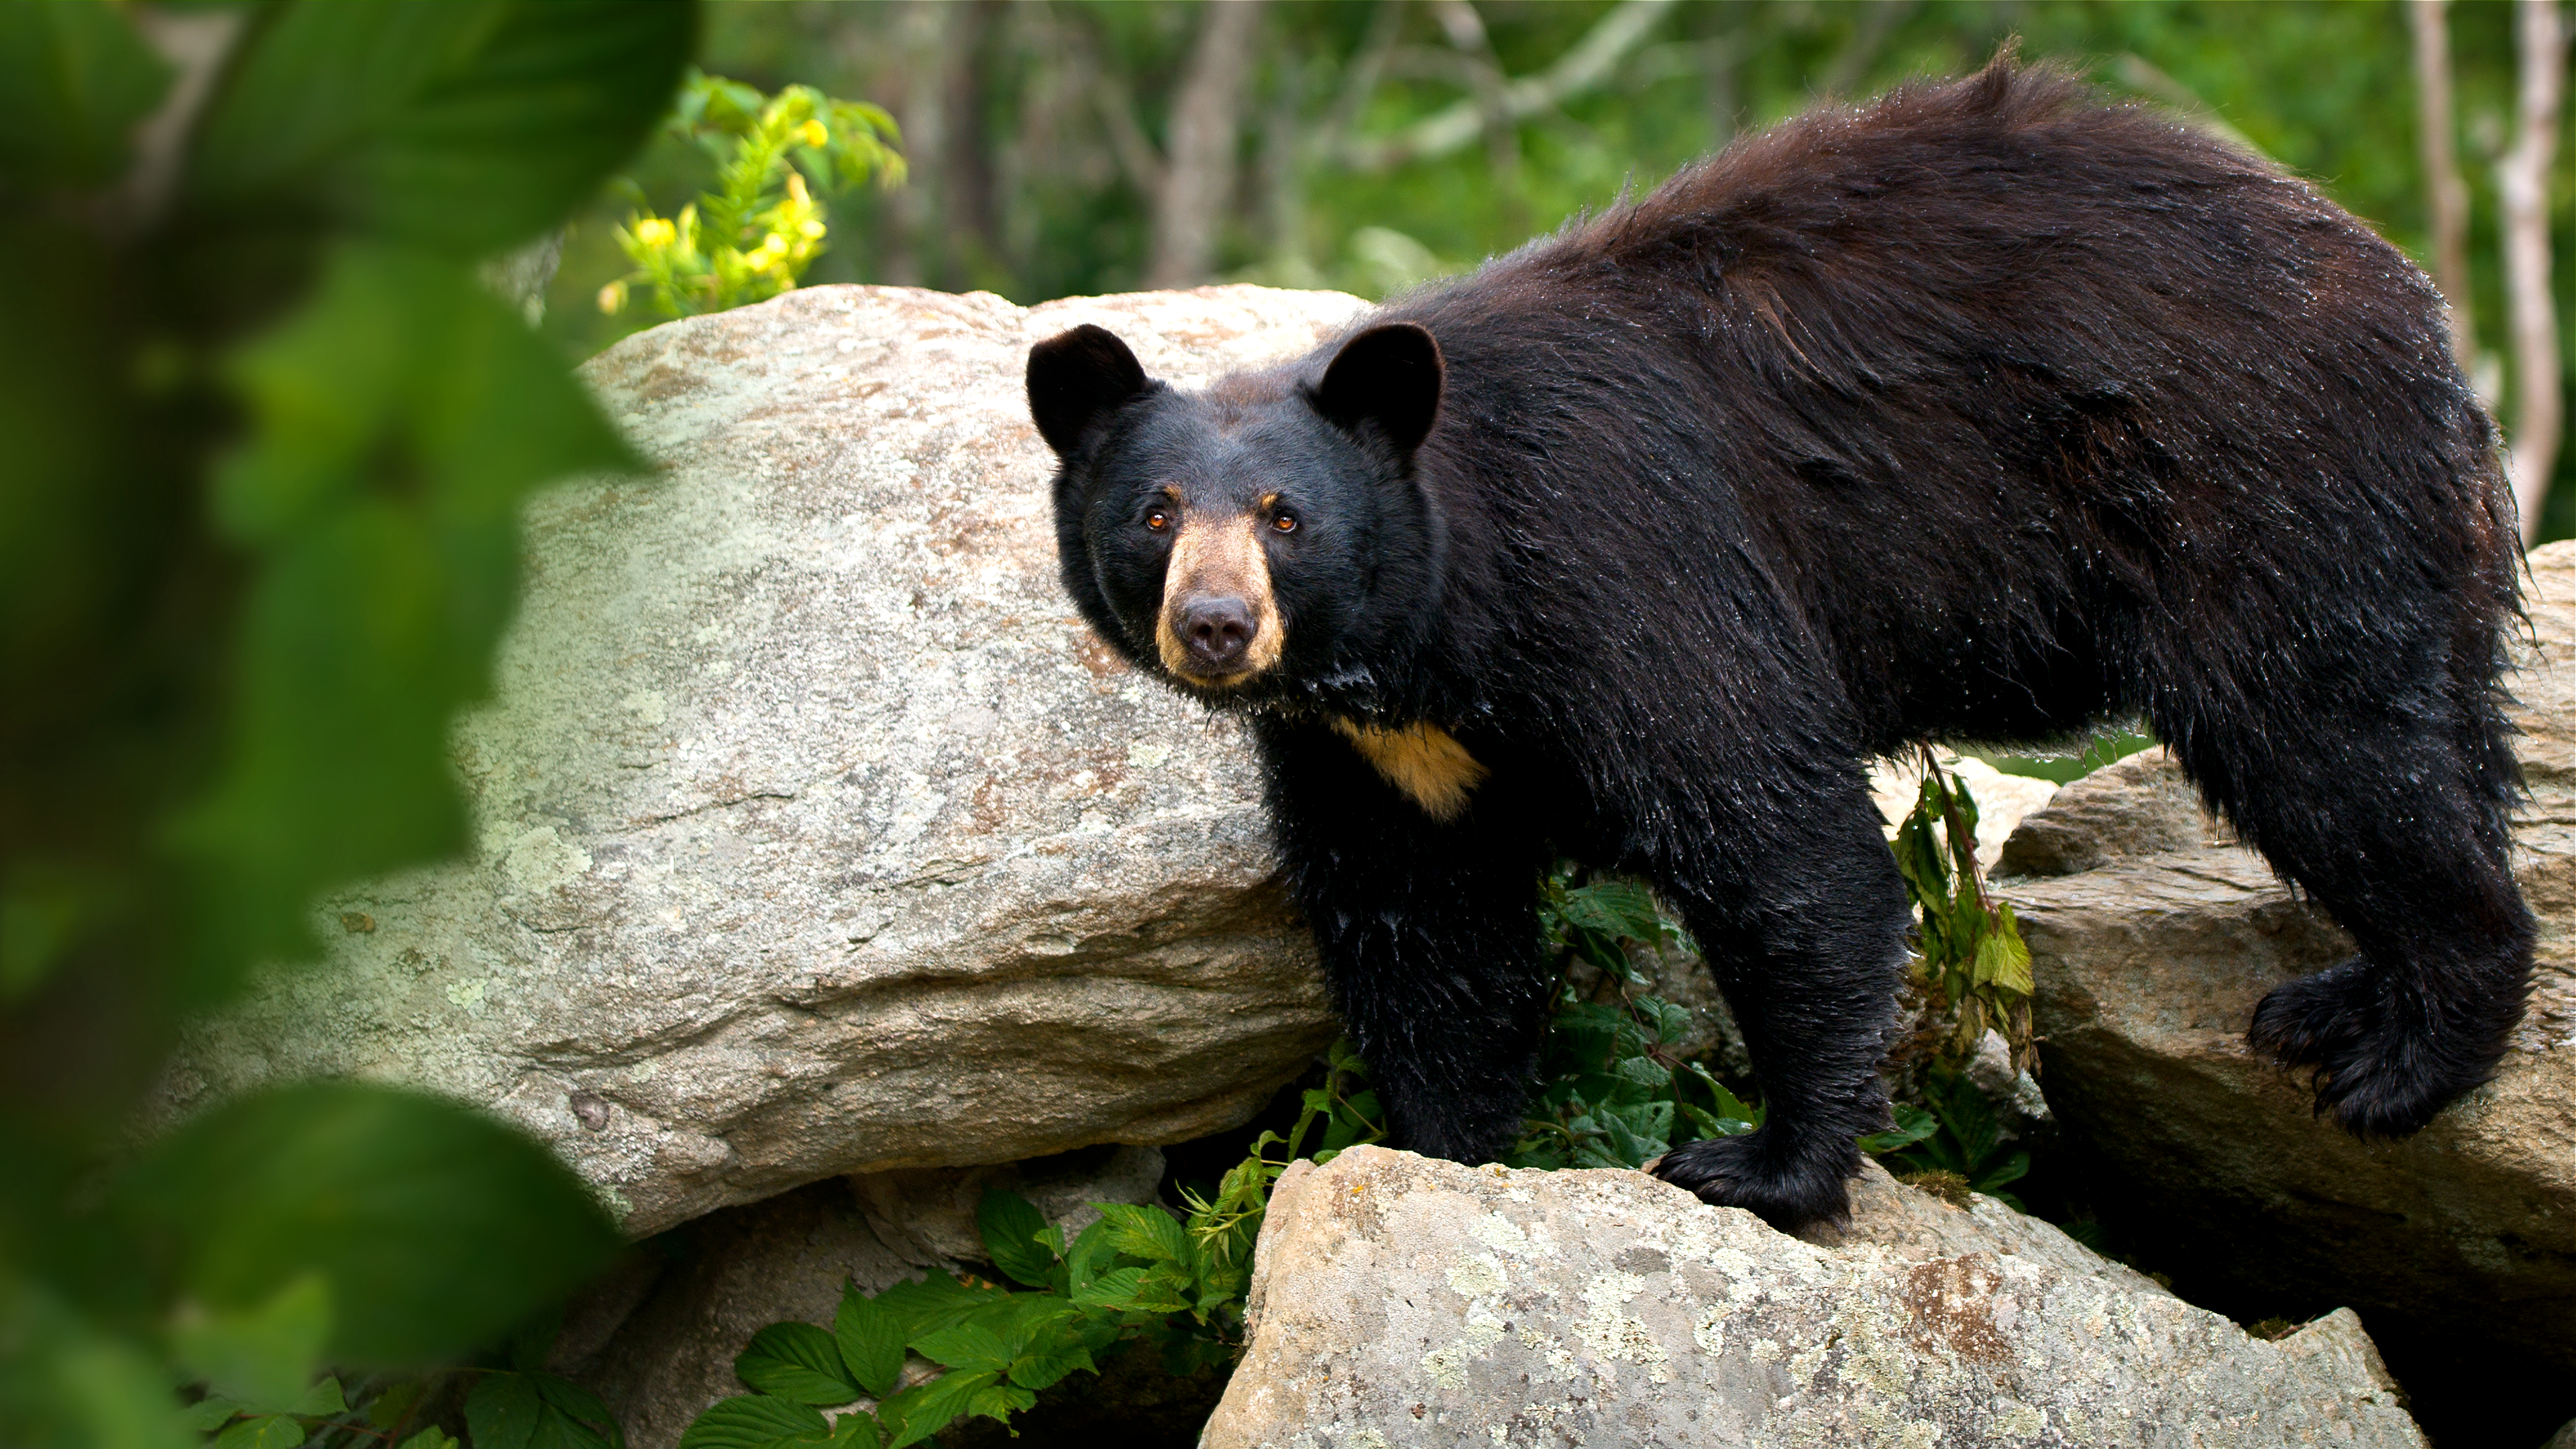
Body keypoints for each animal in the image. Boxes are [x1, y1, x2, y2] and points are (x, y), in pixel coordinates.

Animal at [1014, 62, 2524, 1222]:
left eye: (1286, 517)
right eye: (1155, 512)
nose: (1216, 626)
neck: (1434, 635)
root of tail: (2418, 310)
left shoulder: (1627, 570)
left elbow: (1775, 839)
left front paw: (1762, 1165)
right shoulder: (1369, 753)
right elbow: (1424, 937)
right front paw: (1442, 1148)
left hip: (2259, 493)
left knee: (2327, 748)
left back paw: (2406, 1051)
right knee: (2442, 734)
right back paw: (2347, 1000)